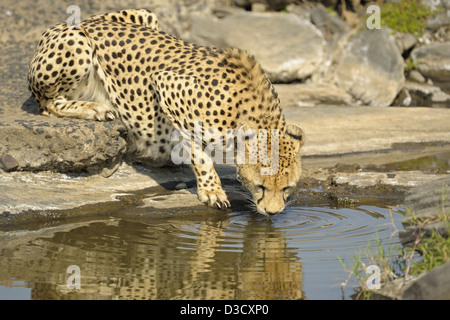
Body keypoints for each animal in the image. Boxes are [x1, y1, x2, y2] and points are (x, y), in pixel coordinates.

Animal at [28, 9, 304, 215]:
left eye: (287, 188)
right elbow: (200, 156)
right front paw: (212, 191)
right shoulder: (166, 86)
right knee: (46, 104)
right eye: (260, 186)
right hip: (77, 43)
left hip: (146, 15)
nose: (273, 213)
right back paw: (94, 108)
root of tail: (75, 22)